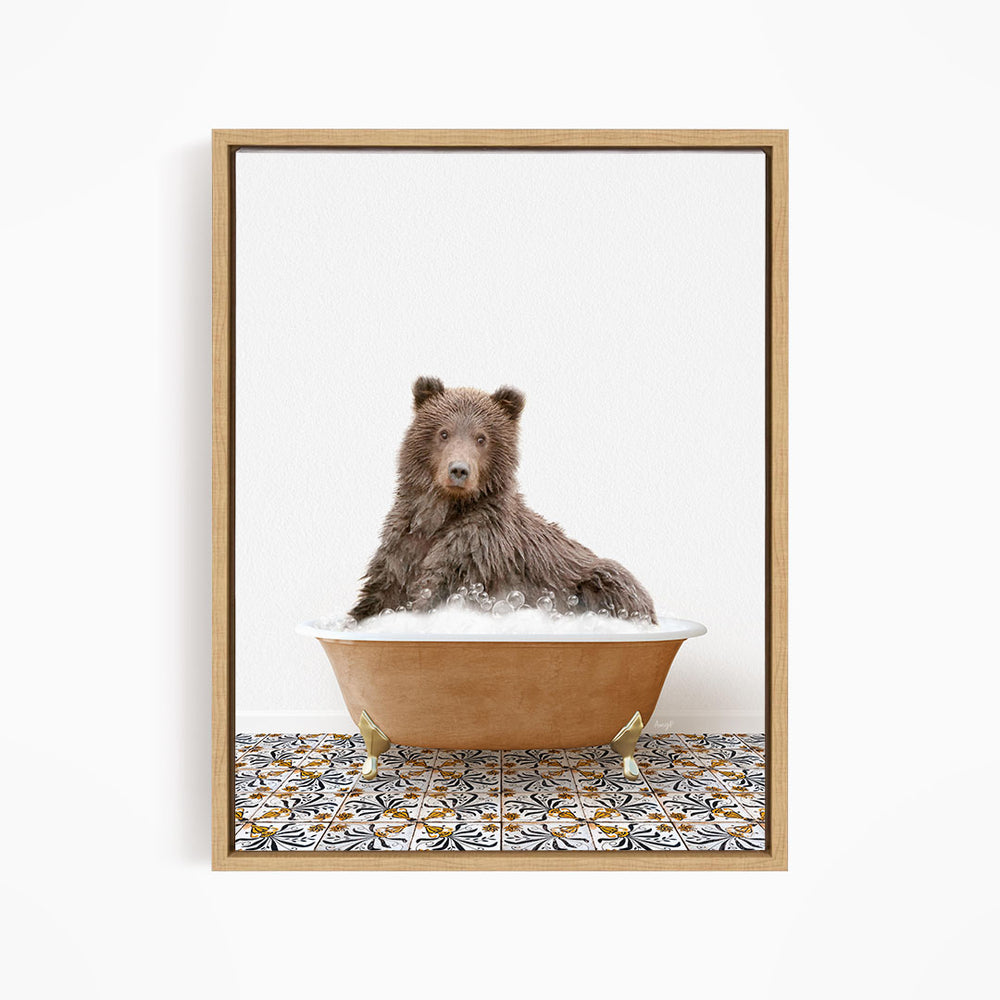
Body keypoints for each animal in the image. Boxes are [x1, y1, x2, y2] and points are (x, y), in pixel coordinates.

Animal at [349, 376, 656, 623]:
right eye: (443, 432)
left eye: (481, 438)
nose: (459, 470)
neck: (442, 512)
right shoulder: (403, 544)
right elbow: (380, 594)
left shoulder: (477, 549)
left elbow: (437, 589)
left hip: (598, 580)